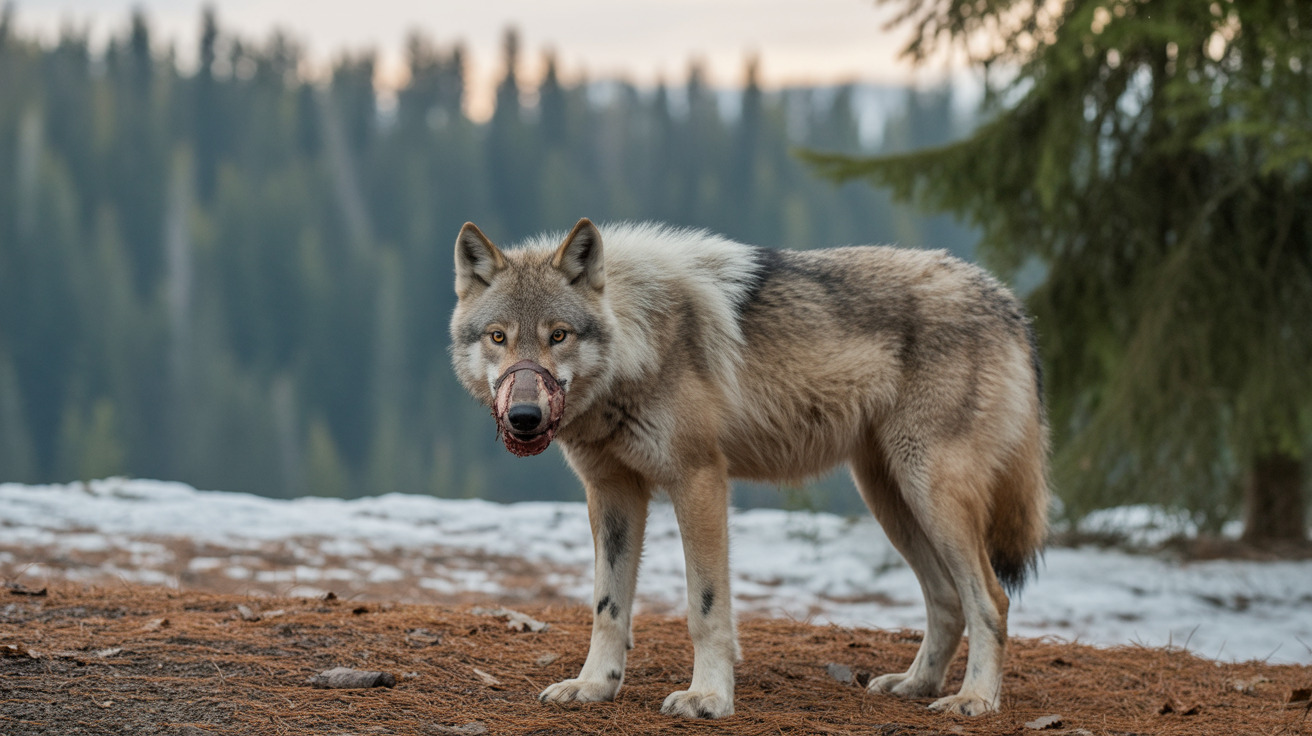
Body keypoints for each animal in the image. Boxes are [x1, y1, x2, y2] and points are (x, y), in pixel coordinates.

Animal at [449, 218, 1049, 718]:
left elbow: (705, 607)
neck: (641, 346)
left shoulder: (700, 481)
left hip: (930, 491)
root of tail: (1006, 300)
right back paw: (914, 685)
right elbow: (607, 605)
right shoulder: (611, 491)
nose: (525, 417)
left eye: (558, 335)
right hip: (891, 500)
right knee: (947, 600)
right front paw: (595, 685)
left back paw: (975, 699)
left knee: (990, 599)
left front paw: (709, 697)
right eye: (499, 337)